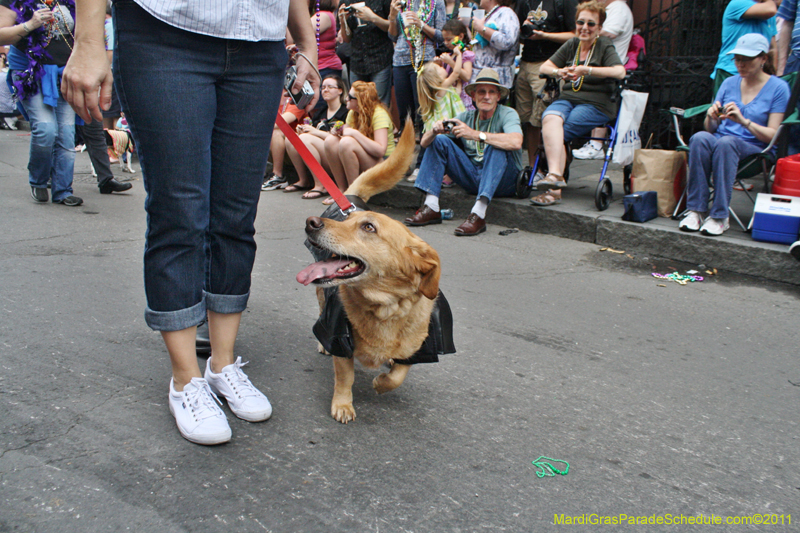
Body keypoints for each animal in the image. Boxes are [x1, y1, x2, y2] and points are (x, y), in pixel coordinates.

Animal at [296, 118, 444, 422]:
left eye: (368, 227)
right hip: (322, 300)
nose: (311, 223)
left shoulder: (419, 349)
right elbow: (345, 377)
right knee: (320, 310)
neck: (386, 308)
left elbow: (399, 374)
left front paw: (382, 382)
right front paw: (343, 404)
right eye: (347, 221)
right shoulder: (340, 341)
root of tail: (351, 197)